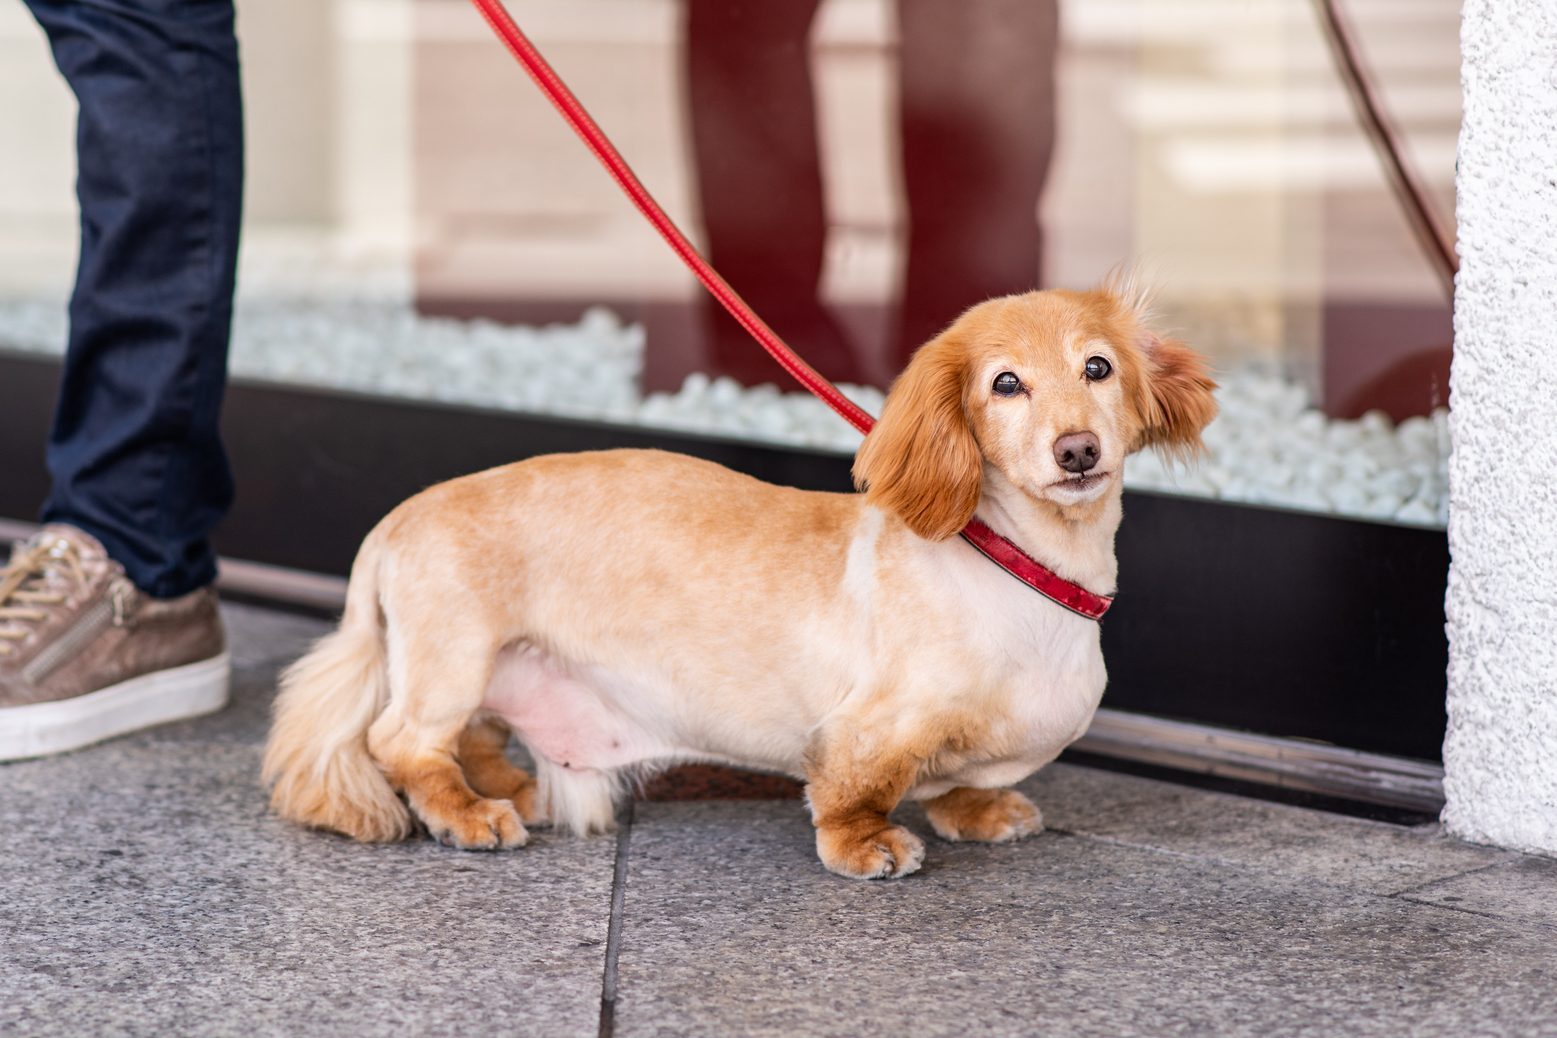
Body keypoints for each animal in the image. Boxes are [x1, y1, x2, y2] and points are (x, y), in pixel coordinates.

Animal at [264, 281, 1214, 877]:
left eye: (1097, 367)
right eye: (1004, 384)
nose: (1076, 451)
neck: (1018, 566)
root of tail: (397, 519)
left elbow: (967, 777)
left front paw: (978, 813)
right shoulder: (867, 729)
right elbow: (856, 789)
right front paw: (866, 846)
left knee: (466, 740)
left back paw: (503, 788)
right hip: (452, 655)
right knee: (402, 742)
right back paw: (466, 814)